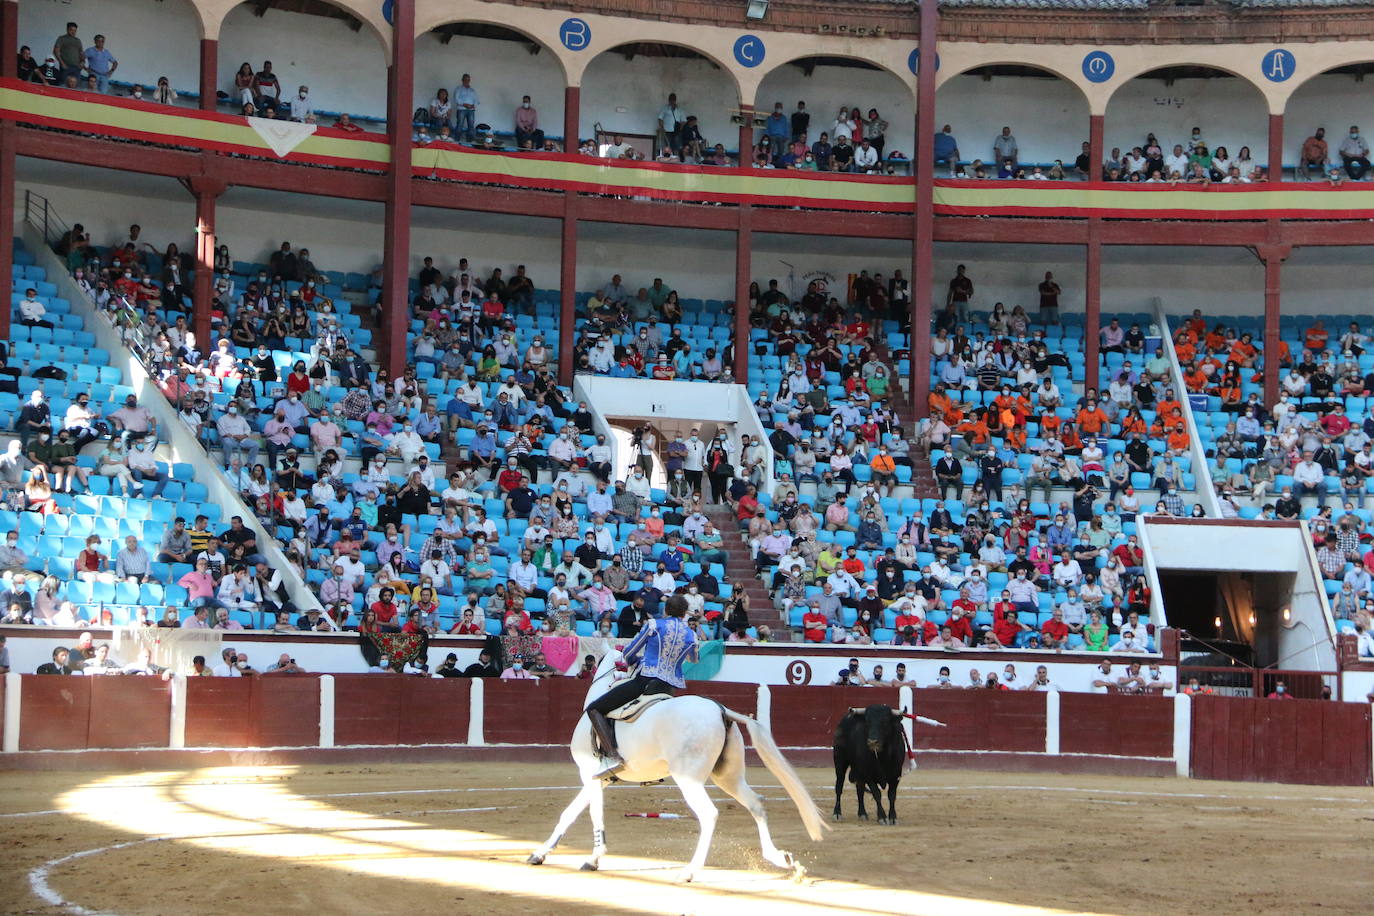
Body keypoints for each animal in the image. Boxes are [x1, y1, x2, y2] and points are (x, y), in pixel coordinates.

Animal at [527, 648, 824, 884]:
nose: (579, 673)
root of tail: (721, 710)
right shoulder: (599, 779)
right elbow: (569, 814)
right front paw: (540, 854)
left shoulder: (589, 774)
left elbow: (592, 815)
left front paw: (593, 859)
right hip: (728, 776)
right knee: (755, 803)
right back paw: (781, 859)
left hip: (689, 778)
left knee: (709, 814)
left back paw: (689, 871)